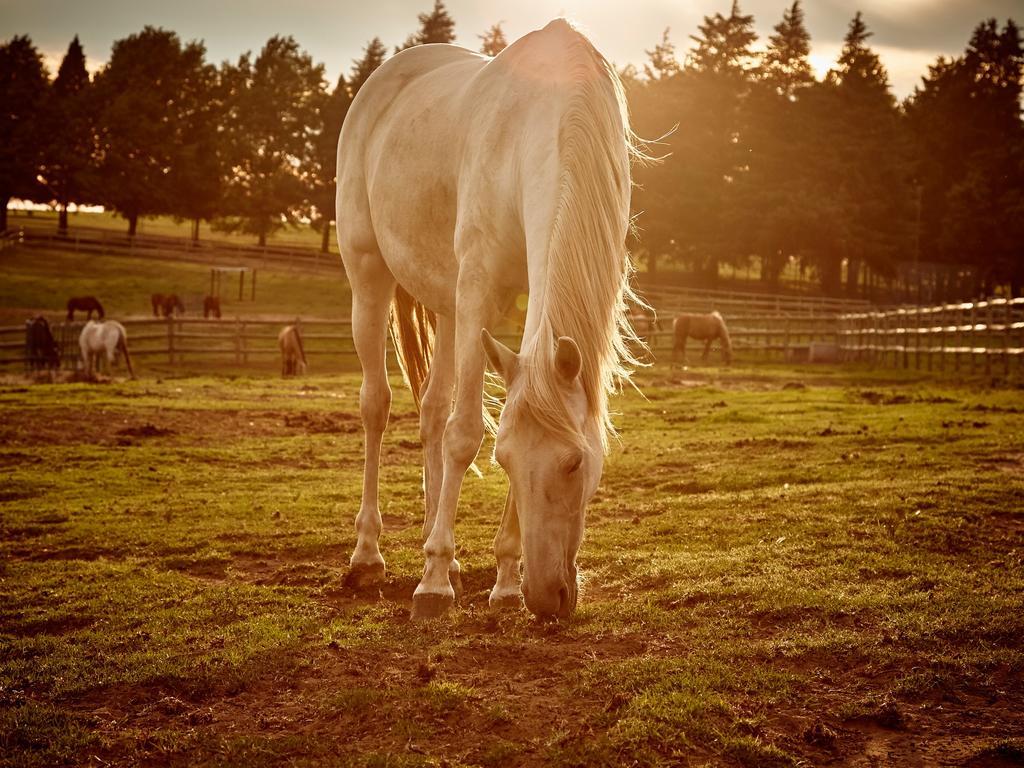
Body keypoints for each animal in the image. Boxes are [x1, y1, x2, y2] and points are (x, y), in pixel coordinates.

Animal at [335, 18, 643, 622]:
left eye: (575, 463)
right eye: (503, 461)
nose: (548, 598)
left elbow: (465, 420)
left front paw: (501, 582)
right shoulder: (478, 287)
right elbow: (466, 432)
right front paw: (433, 586)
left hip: (449, 306)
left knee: (431, 410)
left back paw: (443, 551)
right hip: (370, 277)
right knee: (377, 406)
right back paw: (369, 557)